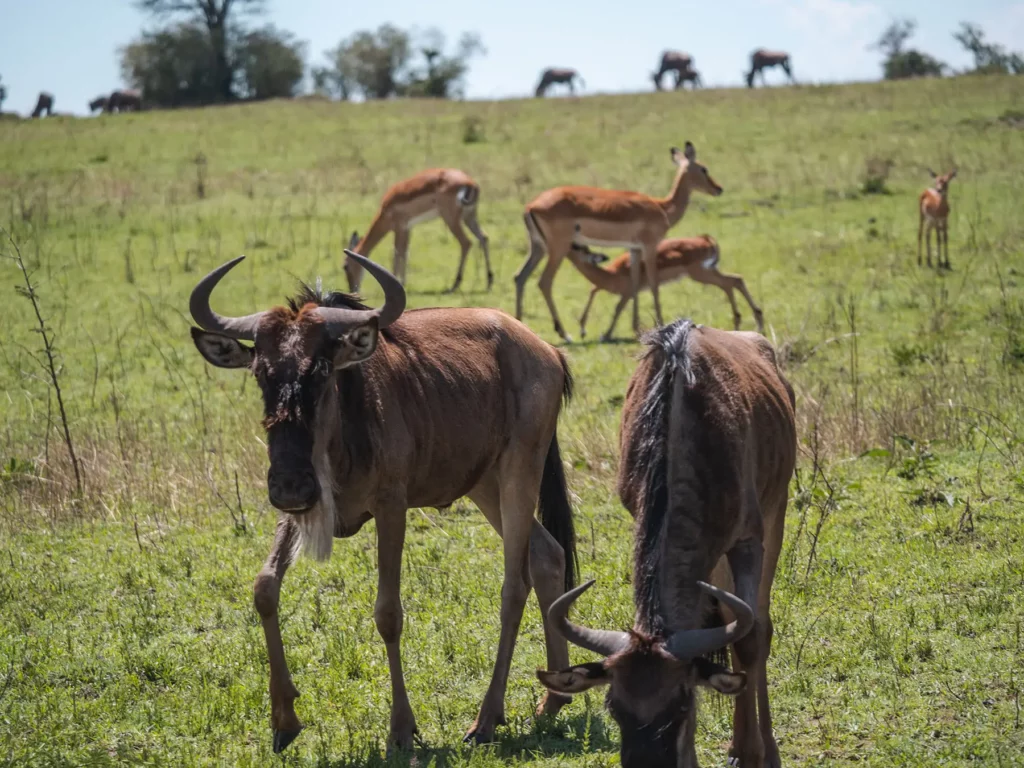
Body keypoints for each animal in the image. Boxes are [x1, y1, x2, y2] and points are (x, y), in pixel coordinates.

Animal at [188, 251, 579, 754]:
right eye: (261, 374)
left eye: (320, 370)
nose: (289, 484)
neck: (345, 426)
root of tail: (547, 351)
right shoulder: (305, 506)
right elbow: (264, 587)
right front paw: (283, 717)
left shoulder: (391, 507)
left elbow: (388, 613)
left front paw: (401, 728)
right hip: (484, 483)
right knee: (548, 555)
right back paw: (553, 697)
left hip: (518, 473)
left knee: (514, 585)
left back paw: (487, 718)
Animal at [345, 168, 492, 294]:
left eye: (345, 266)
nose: (353, 289)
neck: (385, 209)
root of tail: (470, 183)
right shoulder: (407, 228)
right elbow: (405, 253)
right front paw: (402, 282)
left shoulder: (399, 228)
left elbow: (396, 253)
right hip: (469, 217)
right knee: (483, 237)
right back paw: (489, 281)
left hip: (451, 219)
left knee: (466, 242)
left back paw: (454, 286)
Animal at [514, 141, 723, 343]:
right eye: (704, 169)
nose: (718, 189)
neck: (662, 207)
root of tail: (531, 206)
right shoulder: (650, 246)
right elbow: (653, 283)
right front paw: (659, 325)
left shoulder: (634, 249)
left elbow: (635, 281)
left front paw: (636, 327)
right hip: (558, 249)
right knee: (544, 281)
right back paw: (565, 334)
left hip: (539, 248)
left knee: (520, 277)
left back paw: (520, 323)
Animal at [537, 319, 796, 768]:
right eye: (614, 706)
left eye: (681, 704)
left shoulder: (749, 539)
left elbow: (750, 638)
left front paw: (754, 752)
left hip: (775, 512)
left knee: (759, 625)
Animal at [568, 236, 764, 341]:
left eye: (579, 247)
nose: (570, 244)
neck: (611, 273)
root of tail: (706, 239)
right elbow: (594, 291)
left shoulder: (628, 292)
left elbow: (617, 308)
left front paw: (605, 335)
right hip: (708, 272)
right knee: (734, 281)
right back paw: (747, 321)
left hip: (700, 274)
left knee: (730, 282)